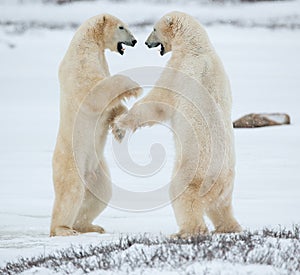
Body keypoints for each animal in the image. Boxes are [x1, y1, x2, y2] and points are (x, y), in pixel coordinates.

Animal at [50, 13, 142, 237]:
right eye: (122, 27)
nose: (135, 41)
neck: (88, 43)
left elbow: (111, 107)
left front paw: (119, 128)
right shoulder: (80, 65)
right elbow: (95, 89)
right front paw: (133, 86)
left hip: (97, 170)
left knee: (99, 195)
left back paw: (90, 226)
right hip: (71, 163)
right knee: (70, 193)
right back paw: (64, 229)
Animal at [113, 11, 243, 238]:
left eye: (154, 29)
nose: (146, 42)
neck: (197, 46)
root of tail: (217, 181)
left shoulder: (178, 68)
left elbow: (159, 101)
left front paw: (120, 126)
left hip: (192, 173)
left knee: (184, 197)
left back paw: (186, 231)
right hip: (227, 186)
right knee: (222, 206)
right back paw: (230, 226)